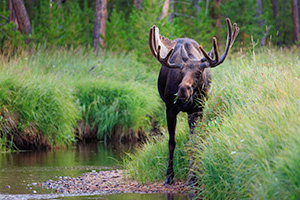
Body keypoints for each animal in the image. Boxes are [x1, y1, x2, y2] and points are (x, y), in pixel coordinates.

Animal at [149, 18, 240, 184]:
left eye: (199, 72)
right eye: (181, 71)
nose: (182, 91)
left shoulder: (198, 109)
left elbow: (195, 142)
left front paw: (193, 177)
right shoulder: (170, 108)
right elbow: (171, 142)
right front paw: (169, 175)